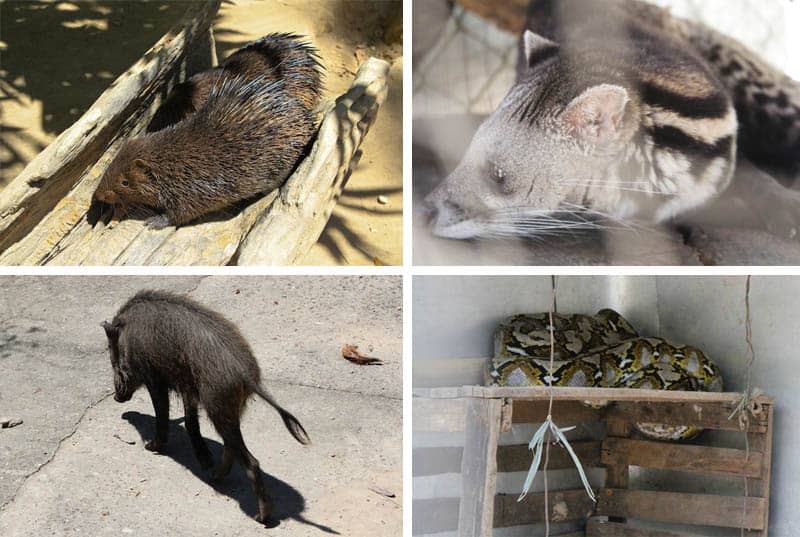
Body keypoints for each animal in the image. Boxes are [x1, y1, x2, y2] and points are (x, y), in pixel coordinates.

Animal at [103, 292, 310, 520]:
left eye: (113, 357)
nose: (117, 399)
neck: (128, 335)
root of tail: (246, 374)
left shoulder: (154, 378)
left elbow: (162, 412)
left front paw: (151, 447)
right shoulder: (187, 387)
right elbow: (191, 421)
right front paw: (204, 460)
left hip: (217, 405)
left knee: (250, 460)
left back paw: (261, 517)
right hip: (230, 409)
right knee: (230, 446)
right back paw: (213, 474)